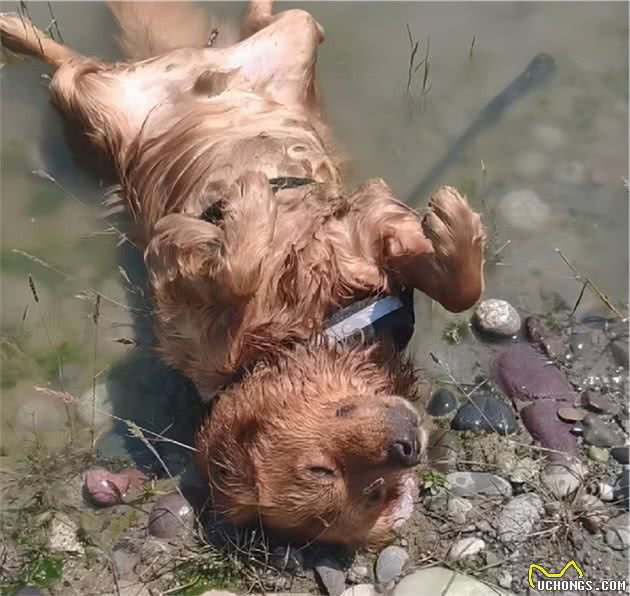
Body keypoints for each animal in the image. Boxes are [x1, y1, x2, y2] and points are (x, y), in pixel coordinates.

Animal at [0, 0, 486, 548]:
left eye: (376, 490)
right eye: (323, 472)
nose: (408, 448)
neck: (310, 333)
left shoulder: (368, 235)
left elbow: (460, 290)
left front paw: (454, 225)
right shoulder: (169, 262)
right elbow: (235, 270)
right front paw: (251, 205)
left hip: (296, 41)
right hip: (94, 108)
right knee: (67, 65)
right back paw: (14, 29)